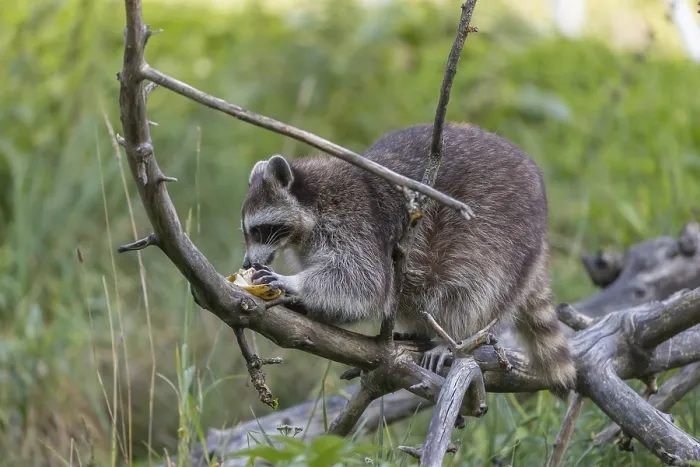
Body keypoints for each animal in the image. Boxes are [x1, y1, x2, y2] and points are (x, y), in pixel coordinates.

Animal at [240, 122, 576, 394]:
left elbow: (363, 282)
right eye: (247, 231)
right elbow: (346, 300)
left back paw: (455, 339)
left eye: (260, 230)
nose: (247, 264)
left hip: (502, 233)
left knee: (473, 287)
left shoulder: (358, 220)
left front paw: (292, 283)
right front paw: (303, 302)